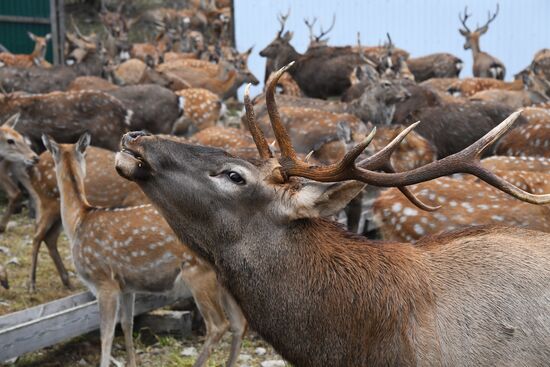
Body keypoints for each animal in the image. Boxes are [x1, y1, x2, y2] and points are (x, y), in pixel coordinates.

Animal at [43, 134, 248, 367]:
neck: (79, 220)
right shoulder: (127, 286)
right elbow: (127, 324)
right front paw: (132, 362)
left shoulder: (104, 280)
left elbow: (107, 334)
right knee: (239, 323)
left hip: (199, 274)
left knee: (218, 325)